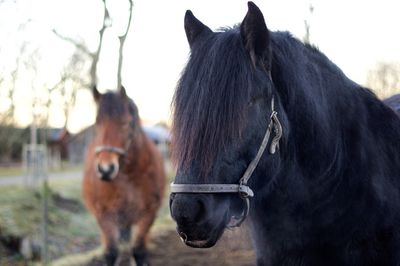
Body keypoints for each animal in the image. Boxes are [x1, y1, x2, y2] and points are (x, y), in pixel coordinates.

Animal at [83, 86, 166, 264]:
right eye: (97, 123)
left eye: (126, 123)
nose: (105, 169)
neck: (128, 177)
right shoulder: (104, 216)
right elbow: (111, 253)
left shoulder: (148, 214)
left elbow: (139, 251)